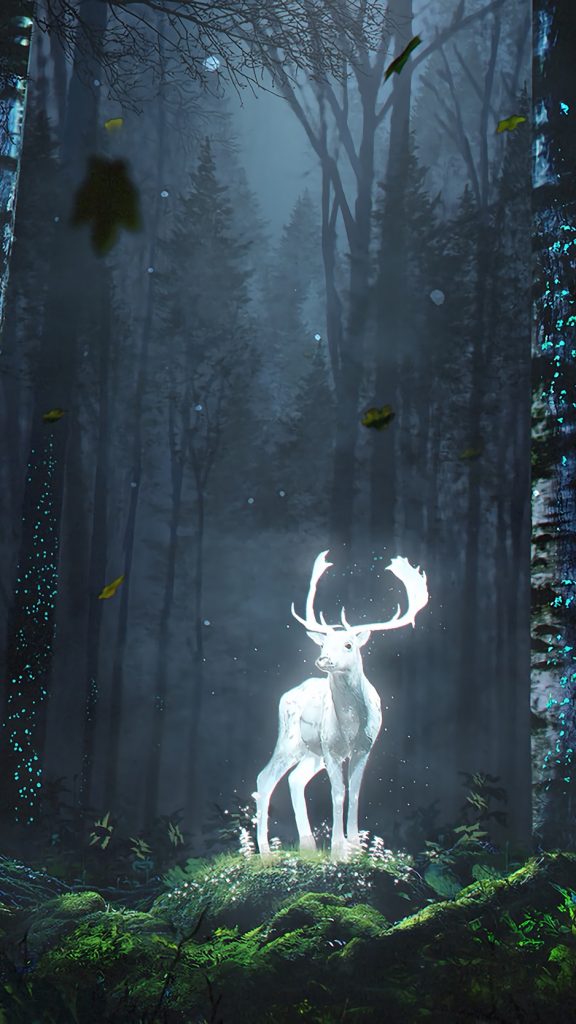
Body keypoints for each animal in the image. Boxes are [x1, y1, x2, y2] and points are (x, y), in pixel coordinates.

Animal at [254, 551, 429, 861]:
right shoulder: (332, 748)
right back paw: (265, 854)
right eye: (323, 645)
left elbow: (356, 791)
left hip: (312, 752)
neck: (350, 726)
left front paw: (356, 847)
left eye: (348, 645)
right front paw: (339, 850)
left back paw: (308, 847)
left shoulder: (365, 747)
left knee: (296, 779)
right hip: (291, 740)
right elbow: (338, 792)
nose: (324, 659)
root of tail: (287, 693)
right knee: (265, 778)